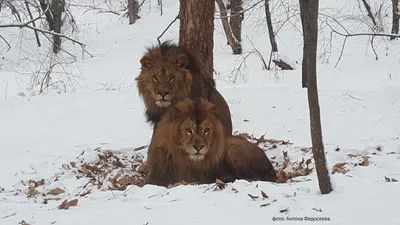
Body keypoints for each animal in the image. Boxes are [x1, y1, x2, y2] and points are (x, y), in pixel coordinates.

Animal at [145, 97, 276, 187]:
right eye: (188, 130)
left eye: (206, 130)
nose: (199, 147)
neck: (185, 161)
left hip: (233, 150)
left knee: (253, 177)